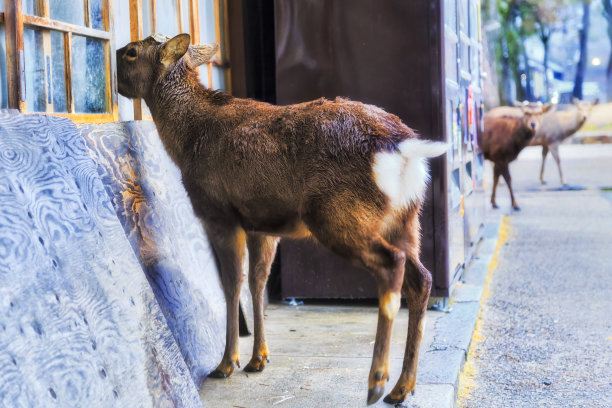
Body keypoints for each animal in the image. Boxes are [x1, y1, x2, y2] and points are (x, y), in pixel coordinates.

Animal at [117, 32, 448, 404]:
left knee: (393, 266)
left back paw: (377, 382)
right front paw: (259, 358)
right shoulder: (262, 223)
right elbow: (257, 282)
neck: (185, 142)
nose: (116, 72)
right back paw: (402, 387)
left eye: (131, 52)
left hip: (338, 215)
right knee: (421, 278)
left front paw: (227, 363)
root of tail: (405, 149)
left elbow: (231, 285)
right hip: (405, 220)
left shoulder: (219, 213)